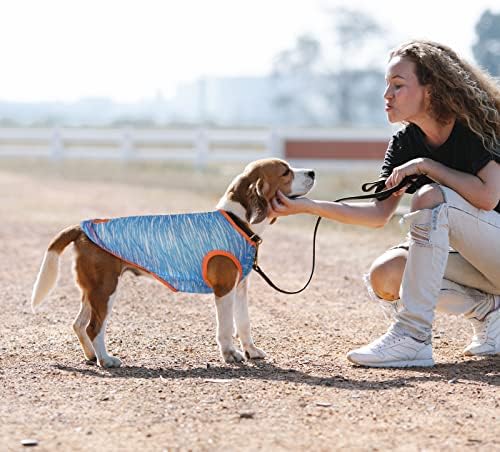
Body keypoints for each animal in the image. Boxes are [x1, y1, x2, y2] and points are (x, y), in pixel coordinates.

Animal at [31, 159, 314, 368]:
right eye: (285, 171)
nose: (312, 171)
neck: (237, 220)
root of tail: (81, 228)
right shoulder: (224, 290)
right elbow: (226, 326)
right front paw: (230, 354)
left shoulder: (241, 288)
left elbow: (243, 323)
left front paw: (251, 350)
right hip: (105, 290)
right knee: (93, 328)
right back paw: (106, 359)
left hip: (92, 291)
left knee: (79, 324)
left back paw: (92, 356)